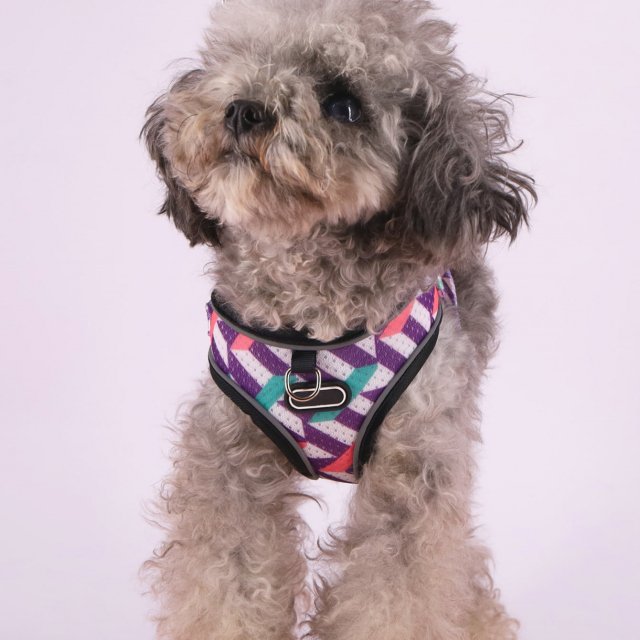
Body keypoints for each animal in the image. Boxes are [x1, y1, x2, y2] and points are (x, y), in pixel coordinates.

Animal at [142, 1, 536, 638]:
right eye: (242, 57)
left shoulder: (417, 471)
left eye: (343, 103)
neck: (309, 334)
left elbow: (397, 593)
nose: (244, 109)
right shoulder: (226, 462)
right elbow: (229, 581)